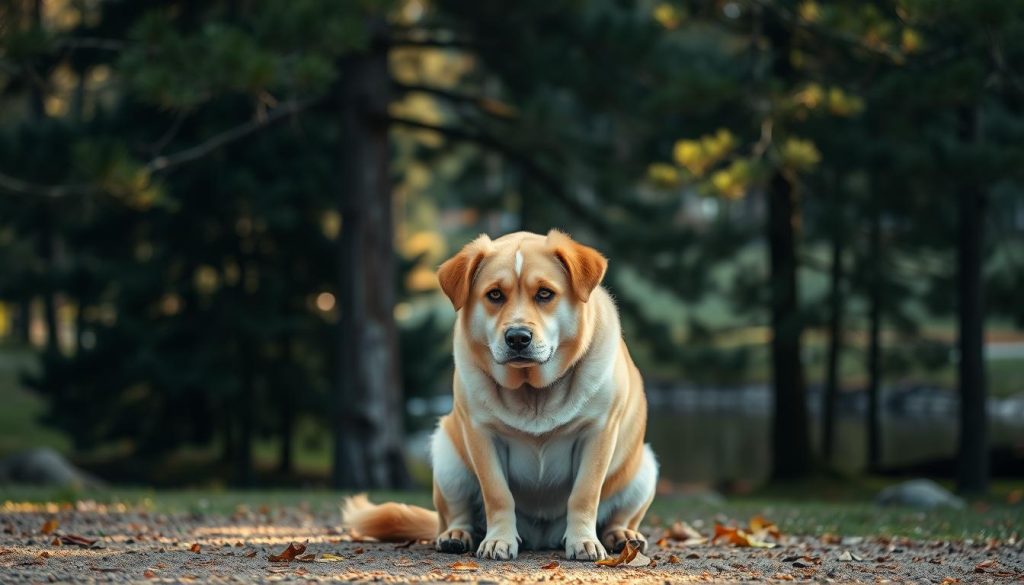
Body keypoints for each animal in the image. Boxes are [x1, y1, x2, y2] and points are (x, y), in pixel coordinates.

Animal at [339, 230, 659, 561]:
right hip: (447, 459)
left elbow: (584, 493)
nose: (517, 337)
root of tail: (541, 537)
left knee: (620, 517)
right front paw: (498, 540)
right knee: (455, 515)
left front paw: (583, 540)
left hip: (644, 469)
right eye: (494, 295)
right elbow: (497, 494)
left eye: (545, 294)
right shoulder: (481, 433)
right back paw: (456, 536)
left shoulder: (599, 431)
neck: (533, 393)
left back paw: (622, 537)